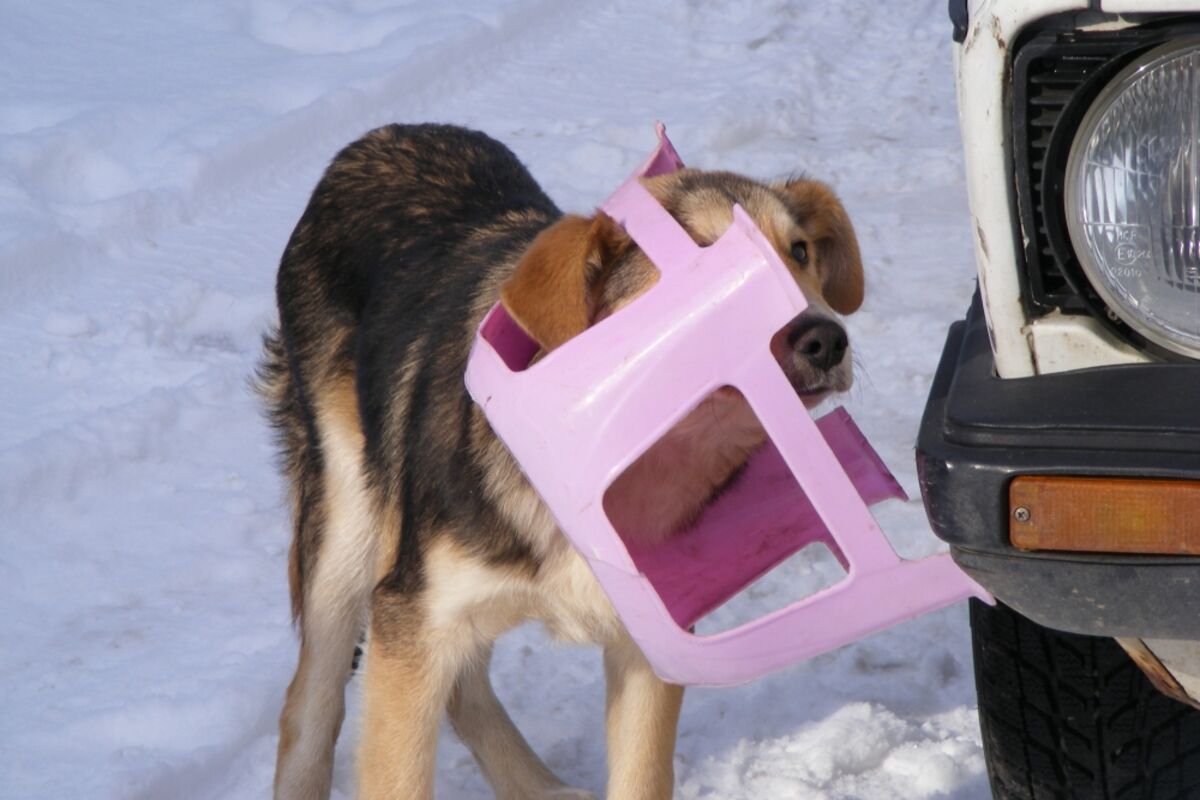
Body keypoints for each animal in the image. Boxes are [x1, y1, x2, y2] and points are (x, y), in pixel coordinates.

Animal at [258, 123, 863, 800]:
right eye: (703, 255)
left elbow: (641, 776)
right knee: (309, 708)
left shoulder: (650, 646)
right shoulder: (409, 617)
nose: (826, 340)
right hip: (347, 535)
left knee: (461, 685)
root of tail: (380, 138)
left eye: (800, 252)